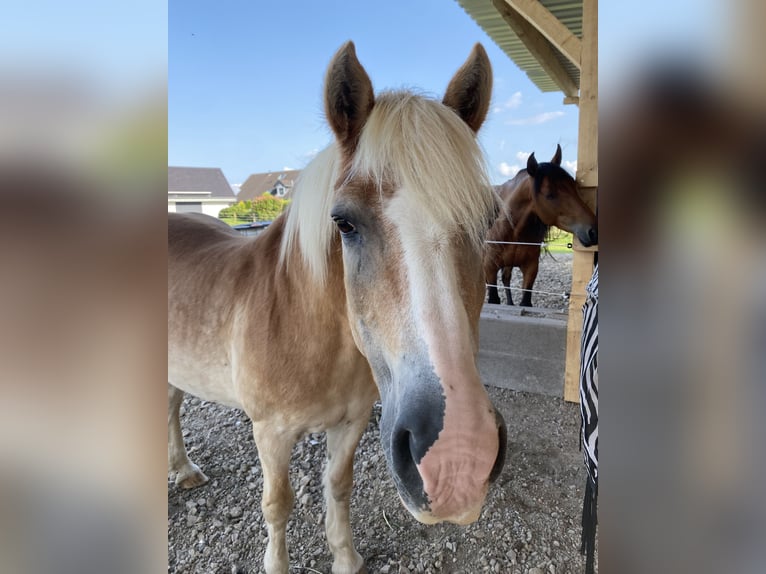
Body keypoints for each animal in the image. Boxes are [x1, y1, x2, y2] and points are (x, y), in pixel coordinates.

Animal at [171, 41, 512, 574]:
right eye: (344, 223)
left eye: (488, 219)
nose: (459, 456)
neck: (303, 328)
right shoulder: (270, 434)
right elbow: (277, 504)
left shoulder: (350, 422)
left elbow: (338, 485)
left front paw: (346, 557)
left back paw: (184, 470)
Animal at [486, 147, 600, 310]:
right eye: (549, 195)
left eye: (574, 187)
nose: (593, 231)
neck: (513, 231)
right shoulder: (490, 269)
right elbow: (493, 299)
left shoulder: (531, 268)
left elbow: (525, 301)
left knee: (506, 278)